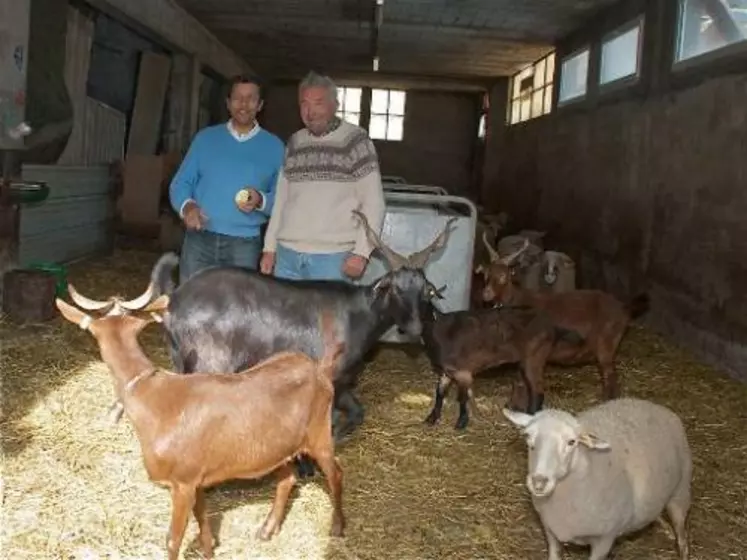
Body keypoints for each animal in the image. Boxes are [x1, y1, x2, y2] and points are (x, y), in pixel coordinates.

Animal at [56, 294, 348, 560]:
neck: (153, 399)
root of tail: (320, 368)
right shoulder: (195, 478)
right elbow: (203, 518)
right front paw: (209, 550)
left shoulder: (183, 481)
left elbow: (173, 539)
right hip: (278, 447)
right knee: (288, 479)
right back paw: (267, 530)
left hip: (320, 433)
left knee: (335, 472)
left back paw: (337, 527)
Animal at [480, 240, 648, 402]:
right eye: (486, 274)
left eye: (503, 276)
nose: (486, 294)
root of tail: (623, 307)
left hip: (606, 344)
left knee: (611, 380)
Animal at [506, 398, 692, 560]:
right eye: (528, 436)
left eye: (572, 442)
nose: (539, 482)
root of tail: (657, 407)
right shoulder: (550, 530)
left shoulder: (605, 540)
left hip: (680, 492)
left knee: (682, 533)